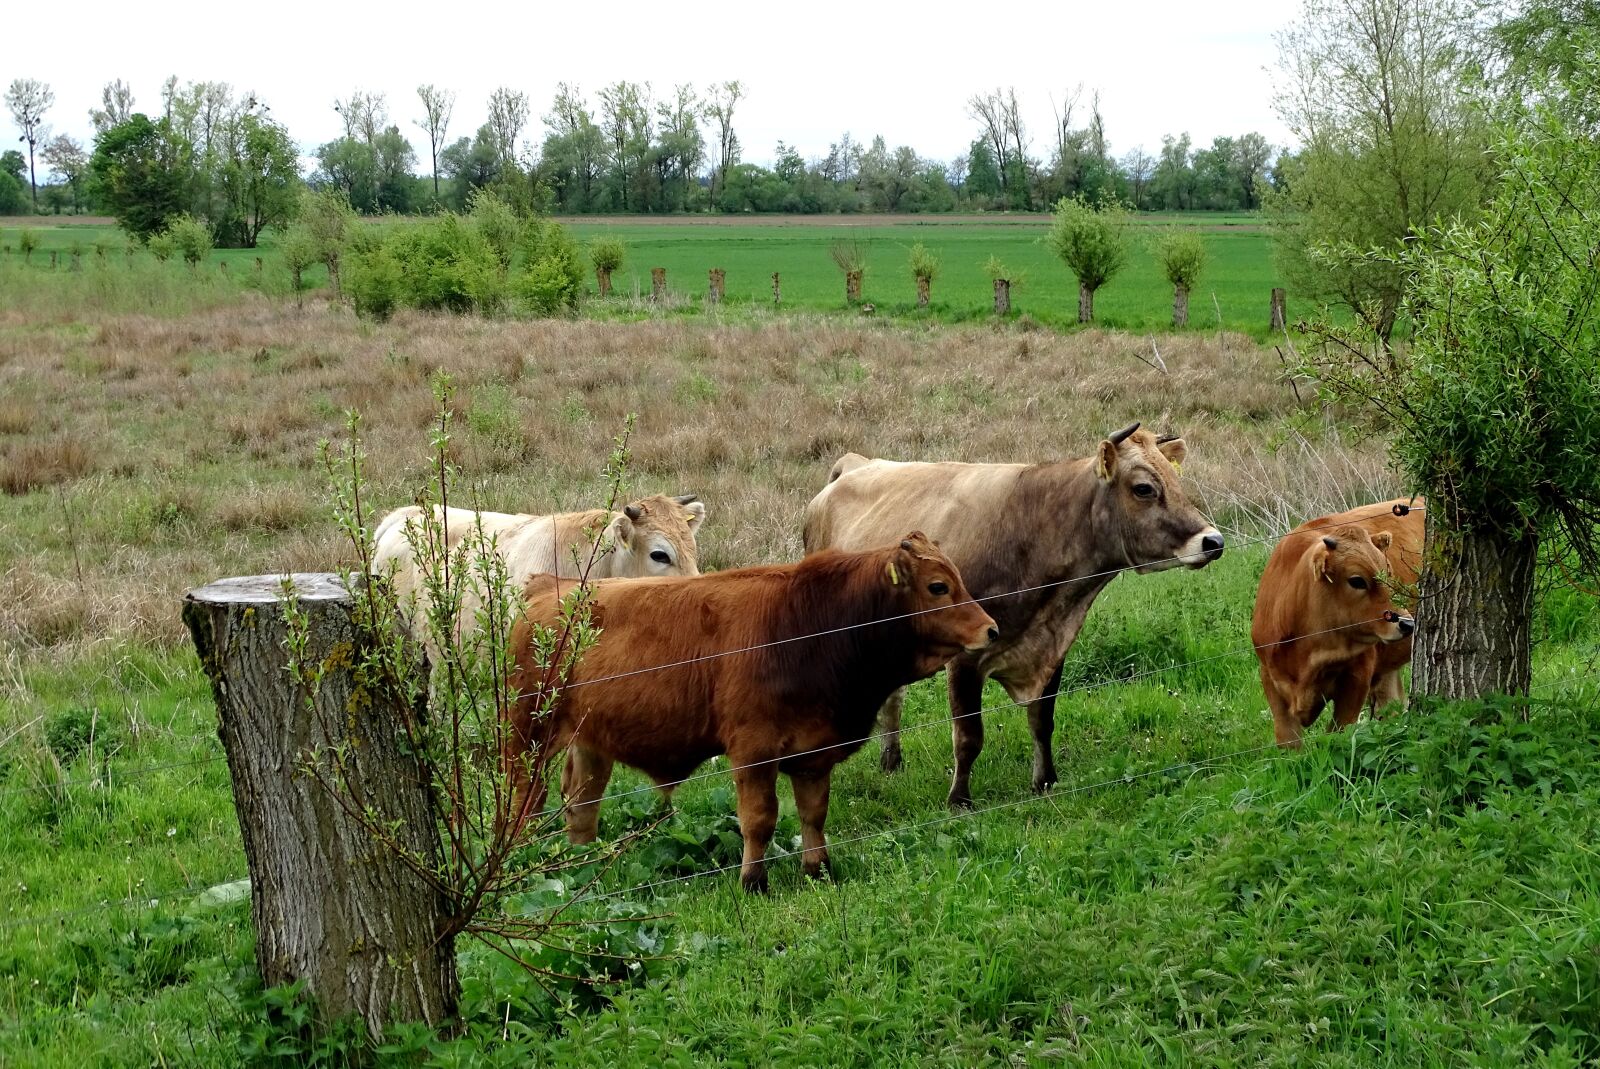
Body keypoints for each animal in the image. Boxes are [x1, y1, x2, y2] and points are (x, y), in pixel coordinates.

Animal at [505, 532, 998, 893]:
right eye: (938, 587)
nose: (991, 629)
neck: (814, 624)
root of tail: (550, 587)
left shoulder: (814, 754)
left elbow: (813, 814)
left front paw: (817, 869)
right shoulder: (753, 752)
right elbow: (759, 821)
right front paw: (752, 881)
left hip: (590, 743)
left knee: (581, 806)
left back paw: (580, 869)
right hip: (528, 738)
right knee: (524, 803)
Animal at [803, 423, 1224, 808]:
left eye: (1175, 479)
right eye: (1143, 489)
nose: (1213, 541)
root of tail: (854, 465)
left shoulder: (1053, 647)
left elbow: (1042, 721)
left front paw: (1045, 781)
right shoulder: (966, 658)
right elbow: (969, 736)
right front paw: (959, 800)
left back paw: (891, 761)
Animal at [1252, 499, 1423, 748]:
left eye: (1388, 572)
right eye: (1357, 580)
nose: (1406, 623)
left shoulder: (1357, 677)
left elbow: (1338, 734)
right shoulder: (1269, 676)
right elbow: (1288, 741)